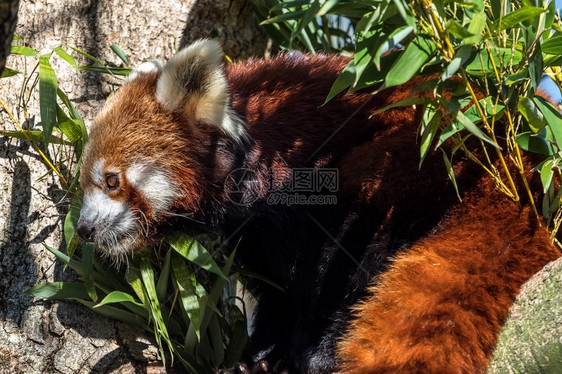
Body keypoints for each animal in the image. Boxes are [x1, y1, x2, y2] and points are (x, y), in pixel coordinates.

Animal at [77, 39, 560, 372]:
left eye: (112, 180)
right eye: (86, 183)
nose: (83, 229)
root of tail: (523, 171)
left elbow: (317, 278)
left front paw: (294, 352)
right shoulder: (255, 236)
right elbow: (278, 291)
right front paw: (258, 355)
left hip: (415, 154)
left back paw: (323, 351)